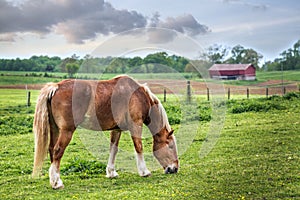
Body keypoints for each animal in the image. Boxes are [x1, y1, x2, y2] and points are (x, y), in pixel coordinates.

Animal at [32, 75, 178, 189]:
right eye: (170, 146)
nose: (175, 169)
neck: (138, 95)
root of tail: (56, 87)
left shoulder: (117, 129)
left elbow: (113, 149)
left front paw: (111, 172)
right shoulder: (136, 125)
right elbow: (139, 147)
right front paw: (144, 171)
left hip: (55, 129)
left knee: (52, 150)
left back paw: (54, 179)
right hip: (67, 131)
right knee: (58, 150)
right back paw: (57, 183)